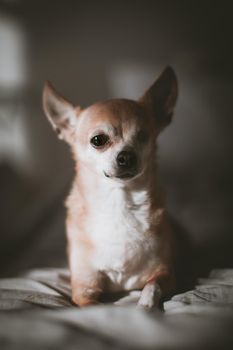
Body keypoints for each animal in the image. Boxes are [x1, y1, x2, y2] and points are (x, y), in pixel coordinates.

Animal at [43, 67, 178, 308]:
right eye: (98, 140)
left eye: (144, 136)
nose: (127, 156)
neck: (119, 202)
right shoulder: (83, 290)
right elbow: (98, 307)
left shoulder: (166, 274)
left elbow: (151, 287)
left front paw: (145, 307)